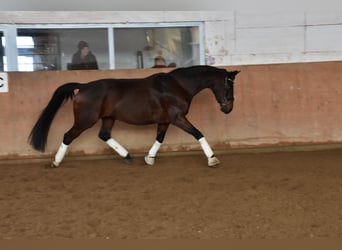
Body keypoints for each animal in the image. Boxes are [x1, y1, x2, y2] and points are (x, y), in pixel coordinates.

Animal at [28, 66, 239, 168]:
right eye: (229, 85)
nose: (228, 109)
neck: (177, 86)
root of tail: (84, 86)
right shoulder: (178, 118)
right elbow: (198, 134)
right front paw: (212, 159)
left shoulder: (165, 121)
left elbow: (159, 139)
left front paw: (149, 158)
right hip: (85, 120)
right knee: (68, 136)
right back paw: (56, 162)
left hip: (108, 118)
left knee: (104, 135)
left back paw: (127, 156)